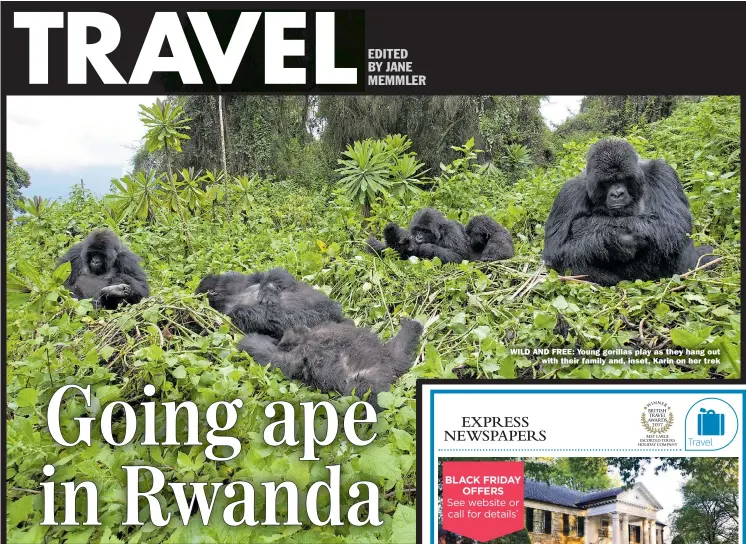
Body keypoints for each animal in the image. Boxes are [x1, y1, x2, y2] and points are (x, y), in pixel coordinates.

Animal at [240, 316, 424, 406]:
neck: (307, 338)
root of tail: (390, 368)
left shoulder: (293, 358)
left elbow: (270, 356)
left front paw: (250, 342)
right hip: (394, 356)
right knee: (400, 347)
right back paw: (412, 327)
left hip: (366, 379)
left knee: (365, 391)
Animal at [540, 138, 716, 286]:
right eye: (608, 182)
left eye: (623, 179)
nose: (617, 194)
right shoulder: (569, 193)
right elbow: (555, 252)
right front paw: (616, 240)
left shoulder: (662, 172)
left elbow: (673, 225)